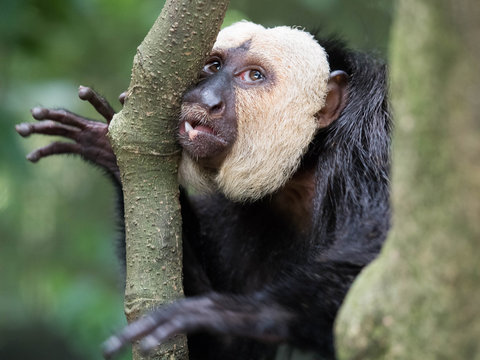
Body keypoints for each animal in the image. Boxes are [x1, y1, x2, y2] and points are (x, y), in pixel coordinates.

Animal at [16, 21, 392, 358]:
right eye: (213, 66)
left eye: (253, 76)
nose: (204, 99)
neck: (308, 163)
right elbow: (227, 349)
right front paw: (109, 151)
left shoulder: (373, 143)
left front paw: (239, 314)